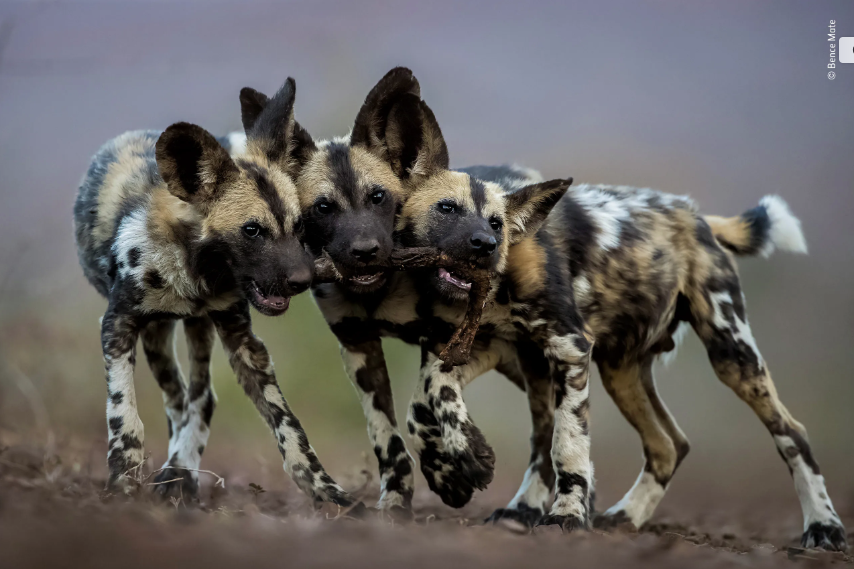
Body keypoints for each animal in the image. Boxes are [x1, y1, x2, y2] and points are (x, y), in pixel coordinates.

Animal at [70, 77, 358, 508]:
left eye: (299, 226)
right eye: (252, 230)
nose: (303, 280)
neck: (195, 275)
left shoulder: (243, 340)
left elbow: (288, 425)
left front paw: (327, 491)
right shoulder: (117, 326)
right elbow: (124, 412)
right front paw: (123, 477)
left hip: (195, 329)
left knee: (200, 399)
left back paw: (182, 471)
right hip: (158, 335)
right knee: (177, 400)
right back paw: (173, 470)